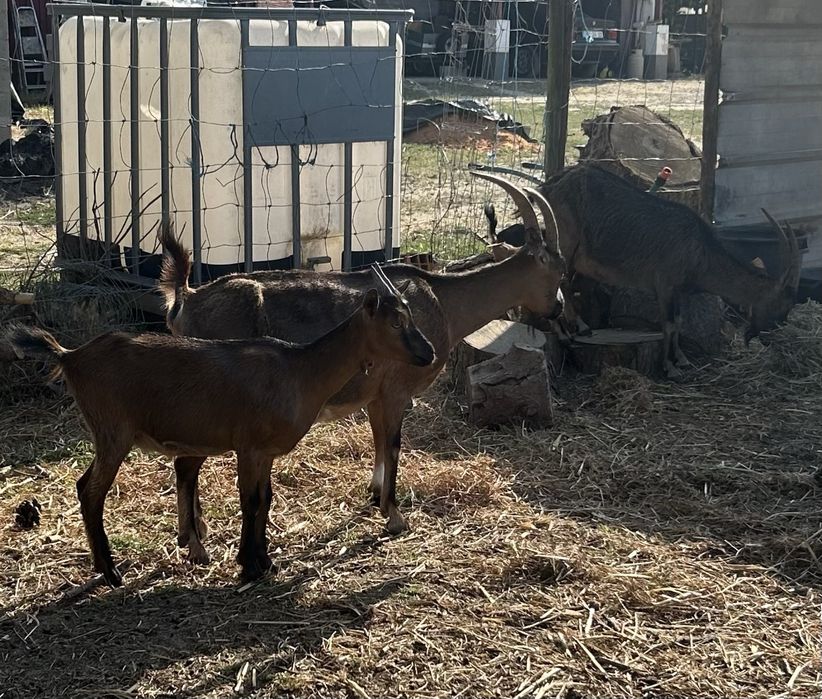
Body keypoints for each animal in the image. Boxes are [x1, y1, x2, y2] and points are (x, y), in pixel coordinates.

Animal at [6, 266, 435, 586]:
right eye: (396, 322)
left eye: (412, 317)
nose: (428, 352)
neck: (301, 370)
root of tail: (70, 356)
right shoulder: (249, 446)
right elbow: (250, 501)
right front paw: (249, 564)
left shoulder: (265, 452)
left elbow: (266, 498)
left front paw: (264, 560)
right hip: (112, 431)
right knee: (91, 491)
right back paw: (110, 572)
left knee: (89, 487)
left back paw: (105, 565)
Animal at [157, 176, 565, 559]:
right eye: (555, 268)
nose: (558, 308)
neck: (444, 303)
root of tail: (185, 302)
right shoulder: (397, 390)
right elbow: (394, 444)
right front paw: (395, 516)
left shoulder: (375, 394)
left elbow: (380, 440)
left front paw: (374, 494)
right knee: (186, 463)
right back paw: (195, 540)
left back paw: (196, 530)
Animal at [476, 164, 801, 376]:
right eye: (781, 304)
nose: (764, 335)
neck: (700, 252)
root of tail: (550, 186)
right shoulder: (665, 283)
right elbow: (668, 324)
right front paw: (671, 367)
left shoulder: (677, 291)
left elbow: (678, 322)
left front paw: (682, 359)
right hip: (566, 238)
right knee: (560, 281)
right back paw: (576, 327)